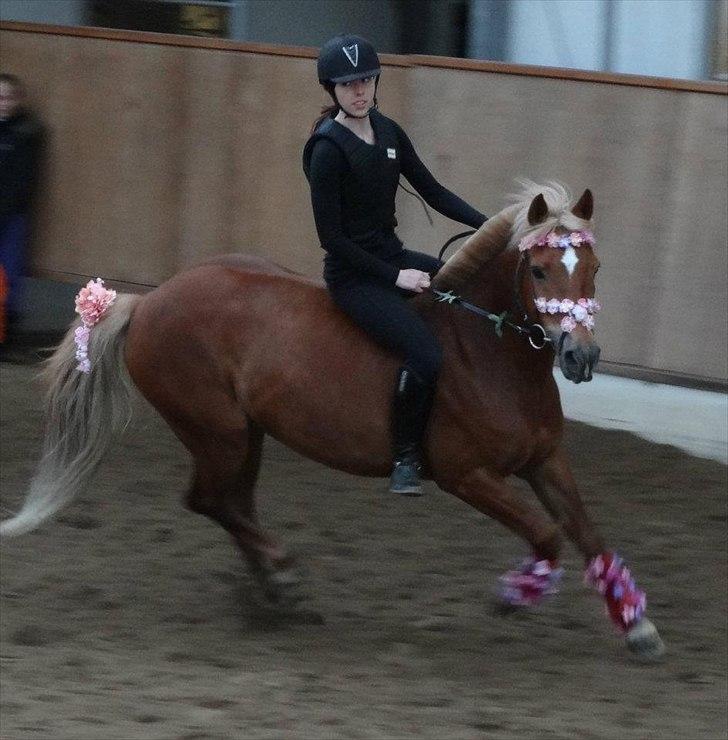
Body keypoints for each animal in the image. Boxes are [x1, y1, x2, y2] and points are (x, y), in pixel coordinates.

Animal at [0, 184, 664, 660]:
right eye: (541, 271)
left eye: (595, 267)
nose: (581, 357)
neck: (487, 351)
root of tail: (148, 301)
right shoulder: (467, 475)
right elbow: (548, 535)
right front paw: (514, 596)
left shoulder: (546, 462)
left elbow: (589, 534)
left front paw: (638, 629)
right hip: (218, 432)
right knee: (209, 499)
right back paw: (283, 577)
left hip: (247, 435)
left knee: (232, 502)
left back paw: (275, 588)